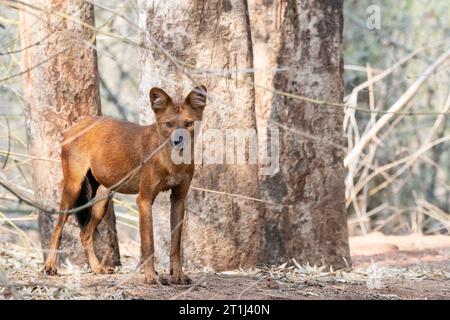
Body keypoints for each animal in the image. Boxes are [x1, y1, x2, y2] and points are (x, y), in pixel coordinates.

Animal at [42, 85, 207, 284]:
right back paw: (50, 267)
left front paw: (178, 276)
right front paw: (151, 277)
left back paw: (97, 268)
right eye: (169, 124)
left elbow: (175, 244)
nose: (177, 140)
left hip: (102, 199)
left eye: (189, 123)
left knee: (85, 233)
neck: (173, 161)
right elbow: (148, 243)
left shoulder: (178, 199)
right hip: (73, 187)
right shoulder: (144, 199)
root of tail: (74, 125)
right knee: (57, 228)